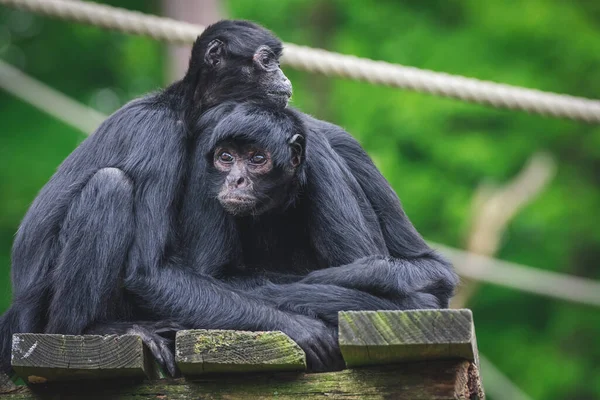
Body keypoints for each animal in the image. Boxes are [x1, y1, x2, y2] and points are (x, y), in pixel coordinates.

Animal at [0, 18, 296, 376]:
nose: (283, 75)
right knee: (110, 186)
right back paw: (91, 329)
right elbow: (147, 271)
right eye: (267, 61)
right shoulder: (159, 134)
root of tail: (18, 314)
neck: (183, 106)